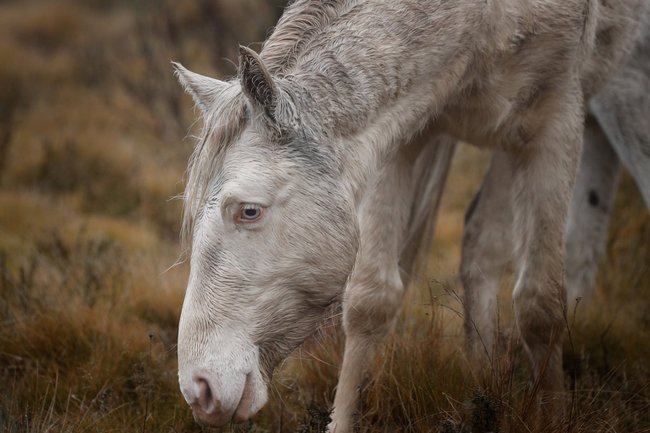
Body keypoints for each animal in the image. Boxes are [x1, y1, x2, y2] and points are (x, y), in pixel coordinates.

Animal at [172, 1, 650, 431]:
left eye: (249, 211)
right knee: (497, 243)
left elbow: (540, 307)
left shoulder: (556, 124)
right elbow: (371, 300)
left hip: (616, 103)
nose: (200, 388)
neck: (484, 22)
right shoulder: (402, 136)